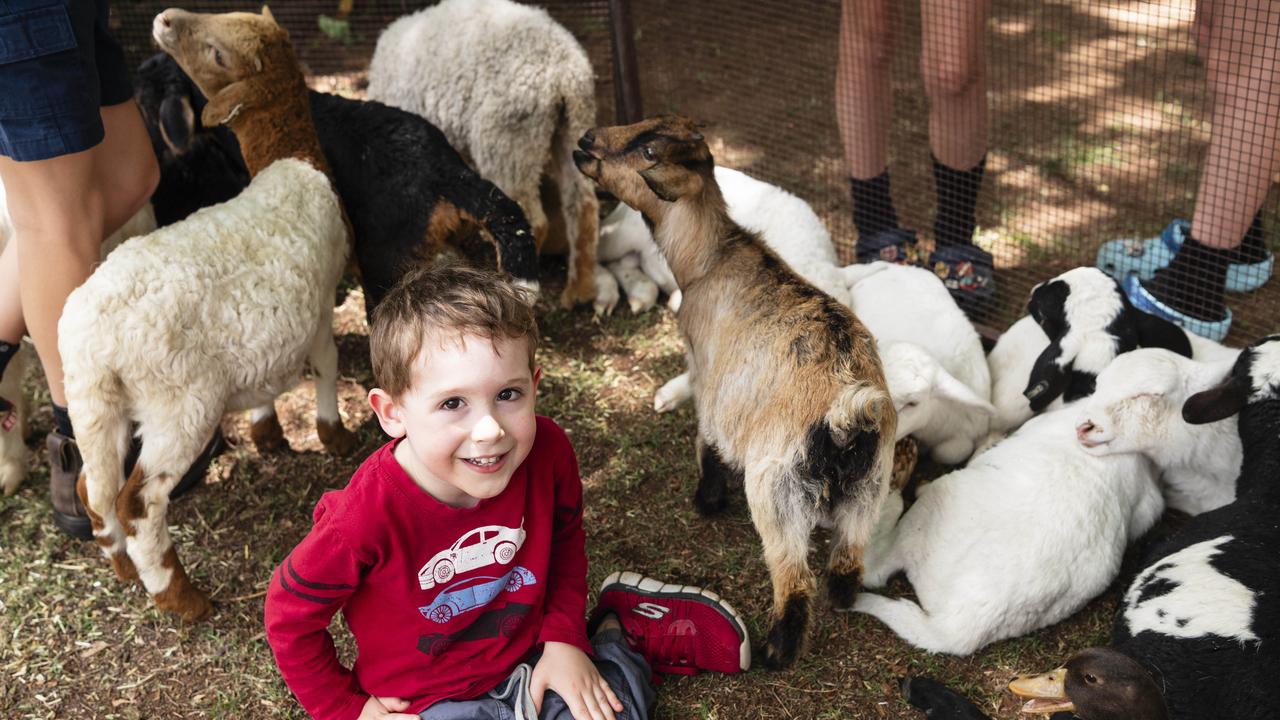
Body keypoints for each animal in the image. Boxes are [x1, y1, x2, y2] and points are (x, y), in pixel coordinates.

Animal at [363, 0, 596, 307]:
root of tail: (563, 71)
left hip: (506, 142)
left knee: (529, 221)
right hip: (572, 127)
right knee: (582, 203)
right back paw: (579, 291)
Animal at [576, 114, 896, 666]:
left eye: (648, 151)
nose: (585, 141)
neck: (710, 259)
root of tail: (846, 413)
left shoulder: (710, 374)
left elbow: (705, 435)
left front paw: (705, 498)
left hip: (777, 490)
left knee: (795, 581)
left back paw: (775, 652)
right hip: (868, 492)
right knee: (846, 565)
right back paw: (841, 599)